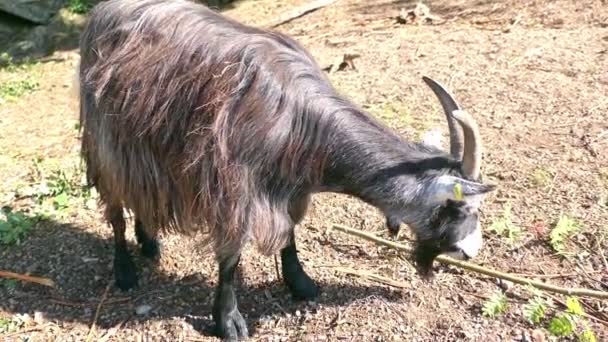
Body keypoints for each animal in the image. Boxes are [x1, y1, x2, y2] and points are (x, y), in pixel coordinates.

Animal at [77, 0, 494, 340]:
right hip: (104, 141)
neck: (299, 122)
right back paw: (125, 270)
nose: (472, 251)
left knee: (140, 190)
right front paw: (228, 320)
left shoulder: (291, 186)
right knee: (114, 206)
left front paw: (300, 283)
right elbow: (231, 256)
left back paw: (149, 241)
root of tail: (100, 13)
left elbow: (289, 232)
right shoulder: (232, 187)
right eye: (457, 207)